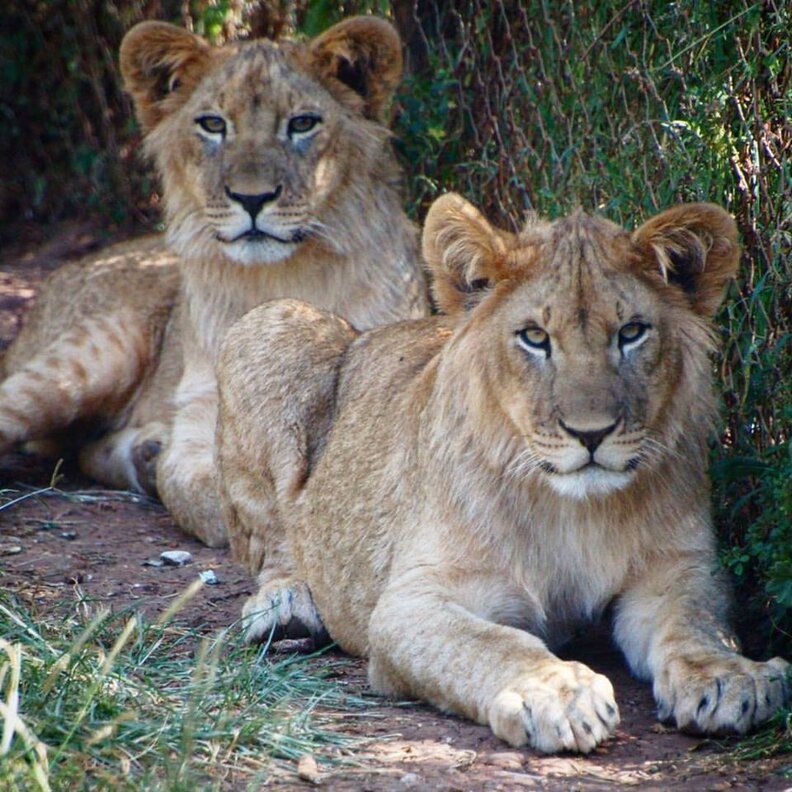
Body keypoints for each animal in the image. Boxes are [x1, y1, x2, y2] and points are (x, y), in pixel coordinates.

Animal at [0, 17, 428, 546]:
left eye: (302, 124)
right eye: (213, 124)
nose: (253, 198)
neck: (281, 278)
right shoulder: (201, 417)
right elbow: (208, 498)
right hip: (94, 353)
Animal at [216, 193, 789, 753]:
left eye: (631, 333)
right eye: (535, 336)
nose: (591, 434)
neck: (575, 509)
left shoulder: (677, 569)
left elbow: (695, 625)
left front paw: (729, 677)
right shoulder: (412, 600)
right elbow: (494, 643)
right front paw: (557, 693)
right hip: (270, 323)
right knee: (273, 543)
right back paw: (287, 607)